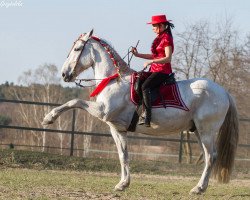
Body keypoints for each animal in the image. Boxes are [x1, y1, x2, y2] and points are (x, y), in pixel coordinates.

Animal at [42, 30, 238, 195]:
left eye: (77, 49)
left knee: (211, 156)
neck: (114, 80)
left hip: (206, 131)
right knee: (208, 156)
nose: (64, 74)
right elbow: (123, 155)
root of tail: (224, 92)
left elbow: (75, 101)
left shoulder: (102, 111)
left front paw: (49, 118)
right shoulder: (117, 129)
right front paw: (123, 184)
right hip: (197, 130)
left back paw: (199, 188)